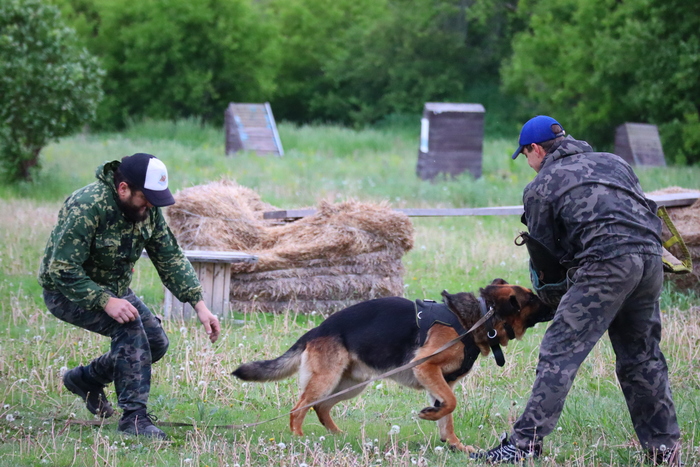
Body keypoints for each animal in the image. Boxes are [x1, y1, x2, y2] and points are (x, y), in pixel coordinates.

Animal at [232, 278, 553, 452]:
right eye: (532, 298)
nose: (554, 299)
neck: (477, 318)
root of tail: (316, 330)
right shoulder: (427, 368)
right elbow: (451, 403)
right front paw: (430, 416)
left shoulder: (442, 380)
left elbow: (447, 413)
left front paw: (453, 444)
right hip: (327, 379)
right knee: (299, 407)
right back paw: (298, 439)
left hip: (349, 385)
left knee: (321, 407)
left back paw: (336, 436)